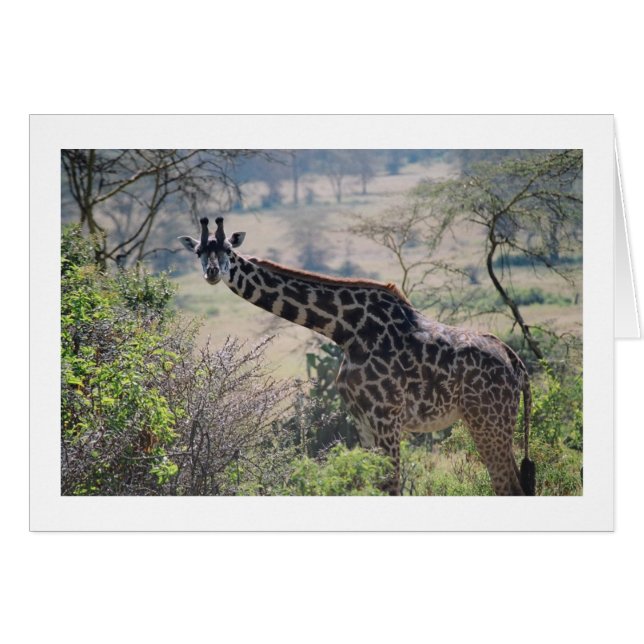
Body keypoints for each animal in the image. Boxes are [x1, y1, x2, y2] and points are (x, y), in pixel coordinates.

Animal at [179, 217, 536, 496]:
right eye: (199, 252)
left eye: (227, 250)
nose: (212, 273)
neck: (345, 330)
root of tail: (516, 363)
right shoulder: (362, 420)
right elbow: (370, 485)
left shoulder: (386, 418)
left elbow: (391, 487)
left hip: (488, 420)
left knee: (509, 487)